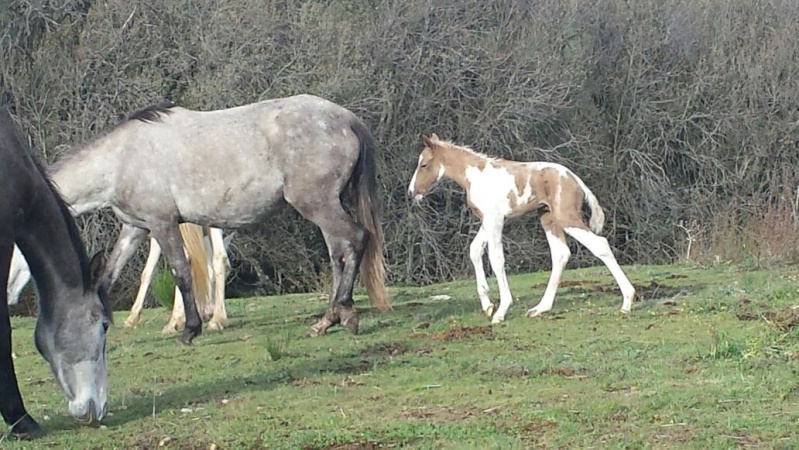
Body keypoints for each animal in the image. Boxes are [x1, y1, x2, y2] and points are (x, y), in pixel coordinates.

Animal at [47, 94, 390, 344]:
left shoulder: (162, 224)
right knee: (338, 254)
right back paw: (326, 321)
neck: (121, 158)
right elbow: (109, 274)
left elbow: (181, 273)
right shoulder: (135, 228)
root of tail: (347, 119)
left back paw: (346, 313)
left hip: (317, 204)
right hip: (324, 207)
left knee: (356, 239)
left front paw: (190, 330)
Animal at [410, 134, 636, 324]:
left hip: (566, 217)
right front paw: (487, 305)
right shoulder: (487, 220)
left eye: (424, 164)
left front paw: (500, 311)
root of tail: (575, 179)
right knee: (561, 254)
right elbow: (475, 251)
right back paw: (540, 308)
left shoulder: (495, 220)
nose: (412, 192)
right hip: (548, 218)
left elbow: (496, 259)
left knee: (600, 244)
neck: (476, 176)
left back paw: (627, 302)